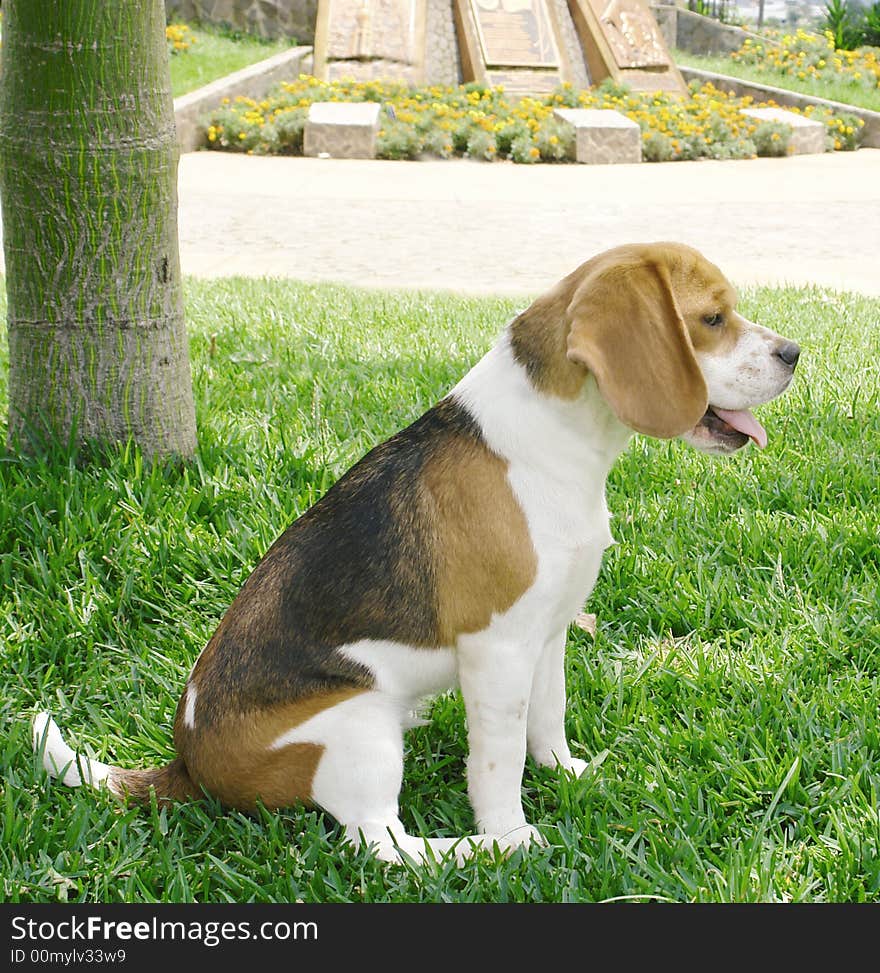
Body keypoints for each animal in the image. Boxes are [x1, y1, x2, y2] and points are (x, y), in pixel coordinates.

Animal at [34, 243, 800, 864]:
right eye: (712, 318)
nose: (794, 353)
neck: (555, 438)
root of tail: (187, 760)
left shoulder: (549, 630)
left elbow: (546, 720)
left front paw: (568, 773)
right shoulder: (497, 649)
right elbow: (498, 760)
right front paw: (510, 829)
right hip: (358, 728)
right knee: (383, 844)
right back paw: (480, 851)